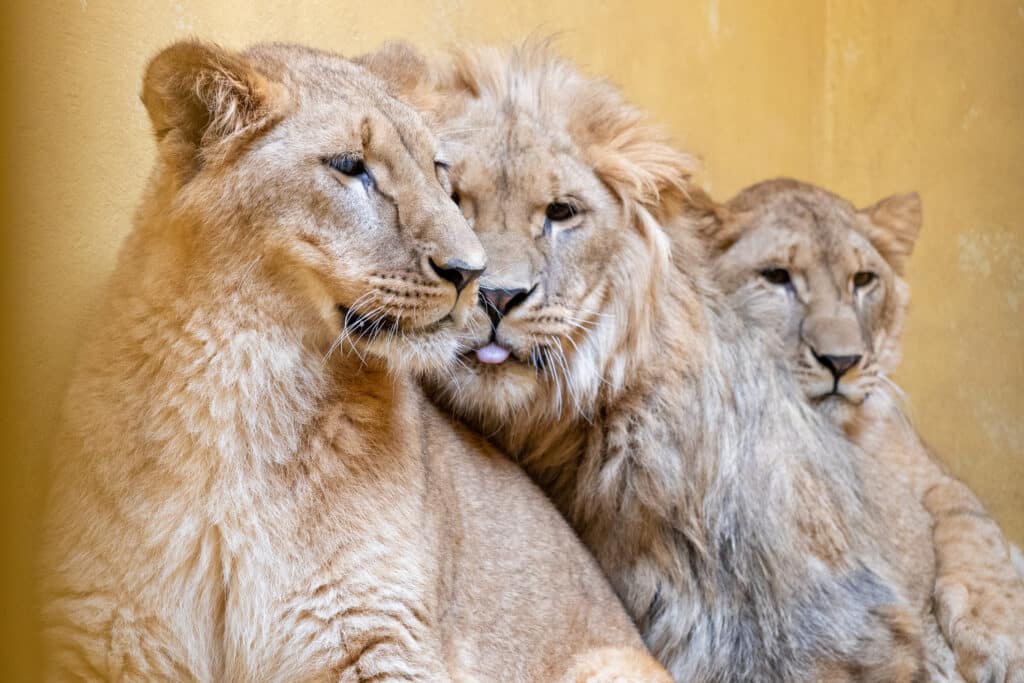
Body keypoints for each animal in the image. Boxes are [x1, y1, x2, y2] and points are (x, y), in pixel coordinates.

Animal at [37, 42, 671, 683]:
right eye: (350, 166)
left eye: (438, 172)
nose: (474, 275)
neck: (242, 382)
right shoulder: (99, 623)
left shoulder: (376, 629)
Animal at [704, 178, 1024, 683]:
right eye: (776, 276)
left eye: (863, 280)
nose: (841, 362)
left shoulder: (934, 472)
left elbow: (974, 523)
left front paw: (996, 632)